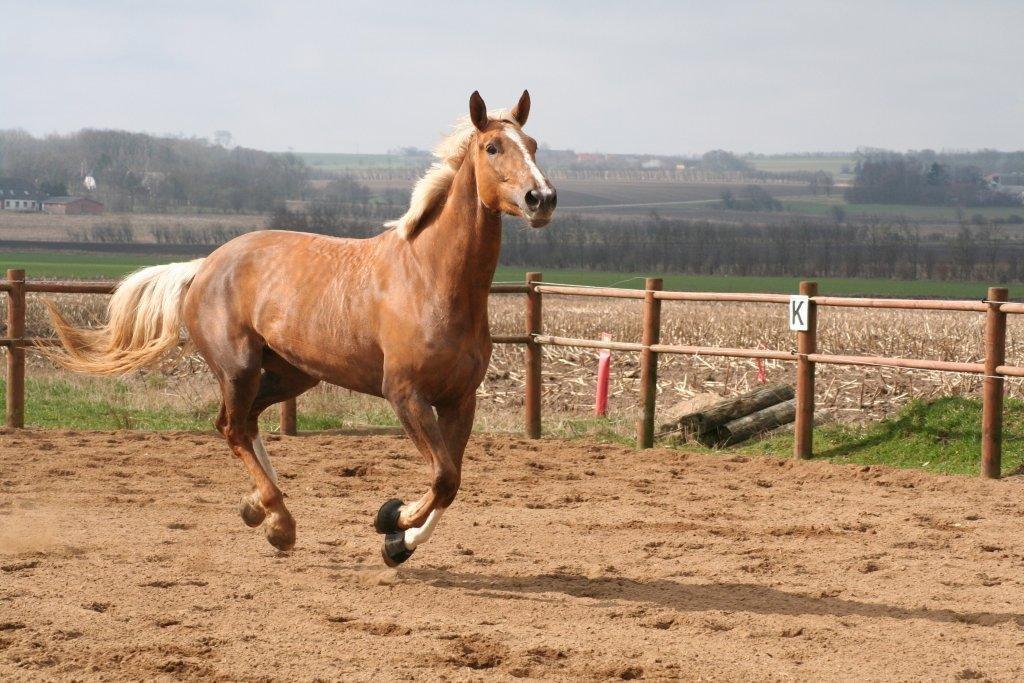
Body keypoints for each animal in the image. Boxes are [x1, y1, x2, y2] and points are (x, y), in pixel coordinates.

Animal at [46, 90, 561, 565]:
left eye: (534, 144)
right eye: (492, 147)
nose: (542, 199)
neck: (430, 279)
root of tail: (206, 265)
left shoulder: (460, 399)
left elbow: (451, 481)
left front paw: (397, 541)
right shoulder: (405, 394)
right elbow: (442, 476)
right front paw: (390, 518)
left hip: (292, 373)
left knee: (244, 422)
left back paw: (260, 511)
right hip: (238, 368)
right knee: (233, 427)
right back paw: (279, 521)